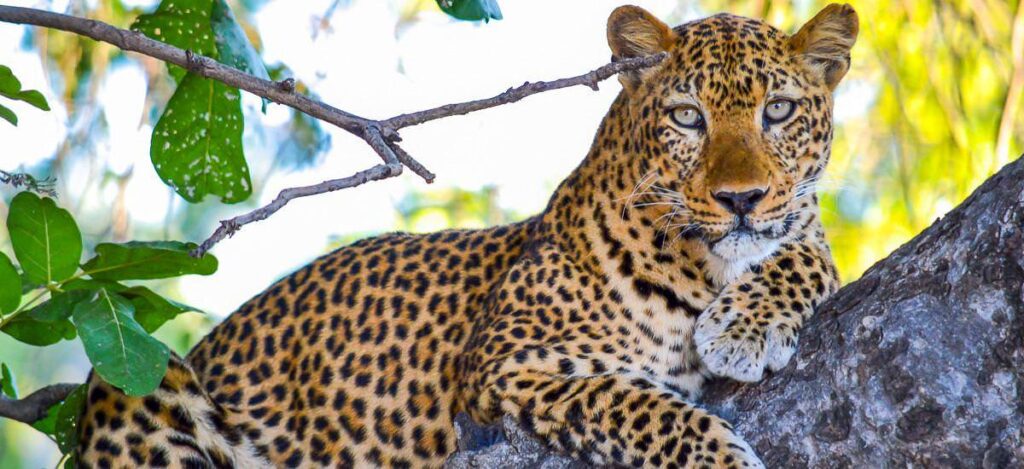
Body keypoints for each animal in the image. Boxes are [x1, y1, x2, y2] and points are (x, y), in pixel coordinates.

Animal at [75, 3, 855, 468]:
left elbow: (808, 250)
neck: (702, 264)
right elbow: (641, 406)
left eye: (779, 111)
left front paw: (745, 325)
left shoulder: (798, 227)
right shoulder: (508, 366)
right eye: (689, 117)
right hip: (136, 382)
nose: (741, 199)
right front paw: (722, 457)